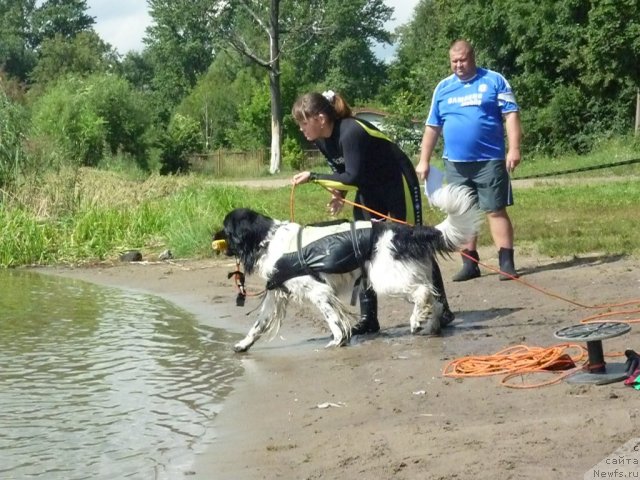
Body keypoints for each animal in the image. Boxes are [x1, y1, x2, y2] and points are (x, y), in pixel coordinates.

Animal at [214, 184, 480, 352]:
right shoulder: (278, 294)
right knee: (434, 299)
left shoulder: (318, 290)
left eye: (226, 229)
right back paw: (431, 327)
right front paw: (243, 345)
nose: (212, 237)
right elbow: (258, 325)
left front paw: (338, 340)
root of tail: (405, 231)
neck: (267, 240)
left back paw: (416, 321)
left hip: (386, 277)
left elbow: (332, 318)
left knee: (422, 292)